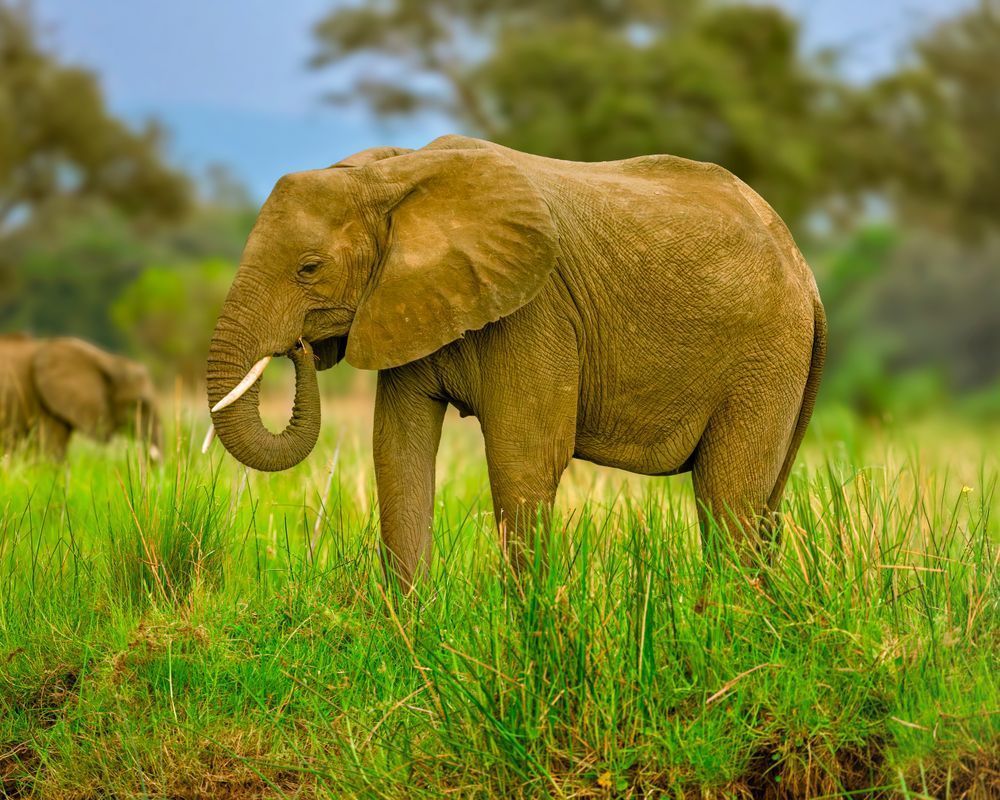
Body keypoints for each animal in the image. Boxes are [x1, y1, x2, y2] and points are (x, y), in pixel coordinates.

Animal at [206, 135, 826, 589]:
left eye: (309, 268)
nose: (300, 347)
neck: (393, 175)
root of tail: (805, 268)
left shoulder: (535, 313)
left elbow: (522, 460)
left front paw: (528, 631)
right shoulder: (410, 303)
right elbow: (397, 450)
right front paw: (409, 636)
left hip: (766, 355)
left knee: (727, 496)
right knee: (761, 503)